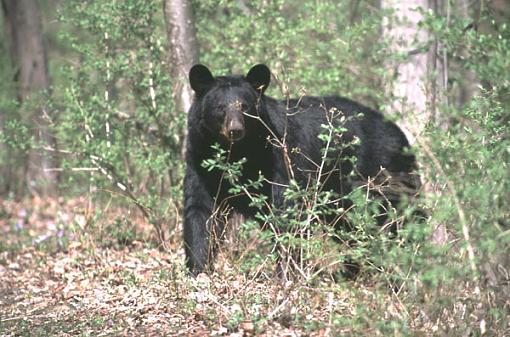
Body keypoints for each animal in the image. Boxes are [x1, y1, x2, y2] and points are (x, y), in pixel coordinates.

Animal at [183, 63, 418, 272]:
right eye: (220, 108)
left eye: (245, 107)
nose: (235, 130)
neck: (238, 153)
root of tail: (399, 134)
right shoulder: (201, 162)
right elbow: (201, 212)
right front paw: (198, 269)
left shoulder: (280, 161)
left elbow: (287, 211)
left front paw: (286, 271)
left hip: (380, 174)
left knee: (395, 221)